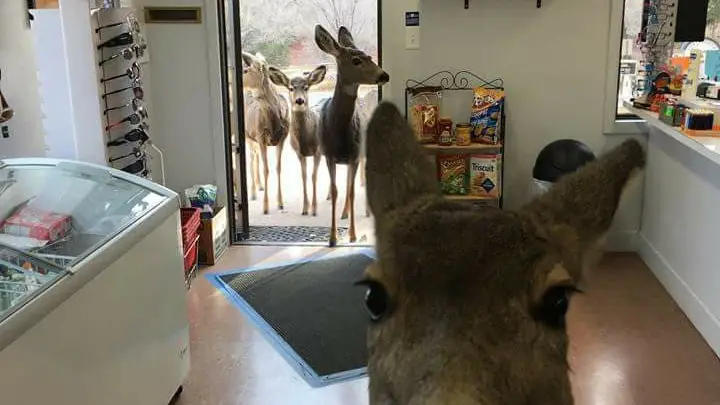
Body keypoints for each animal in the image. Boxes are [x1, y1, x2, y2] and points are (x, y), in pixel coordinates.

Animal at [240, 52, 288, 215]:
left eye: (245, 70)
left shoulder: (282, 139)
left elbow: (278, 168)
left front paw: (280, 203)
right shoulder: (261, 137)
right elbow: (266, 169)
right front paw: (266, 207)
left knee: (255, 157)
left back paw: (259, 185)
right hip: (248, 136)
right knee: (251, 158)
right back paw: (254, 192)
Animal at [268, 66, 330, 216]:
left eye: (306, 87)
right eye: (291, 88)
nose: (300, 100)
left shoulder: (317, 151)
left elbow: (314, 176)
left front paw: (314, 209)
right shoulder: (299, 153)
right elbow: (304, 177)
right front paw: (305, 209)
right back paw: (329, 195)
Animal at [314, 26, 388, 246]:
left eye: (370, 57)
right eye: (356, 60)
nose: (384, 75)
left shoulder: (354, 155)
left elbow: (353, 191)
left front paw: (353, 235)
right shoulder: (330, 156)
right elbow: (335, 191)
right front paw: (332, 238)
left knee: (354, 183)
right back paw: (344, 214)